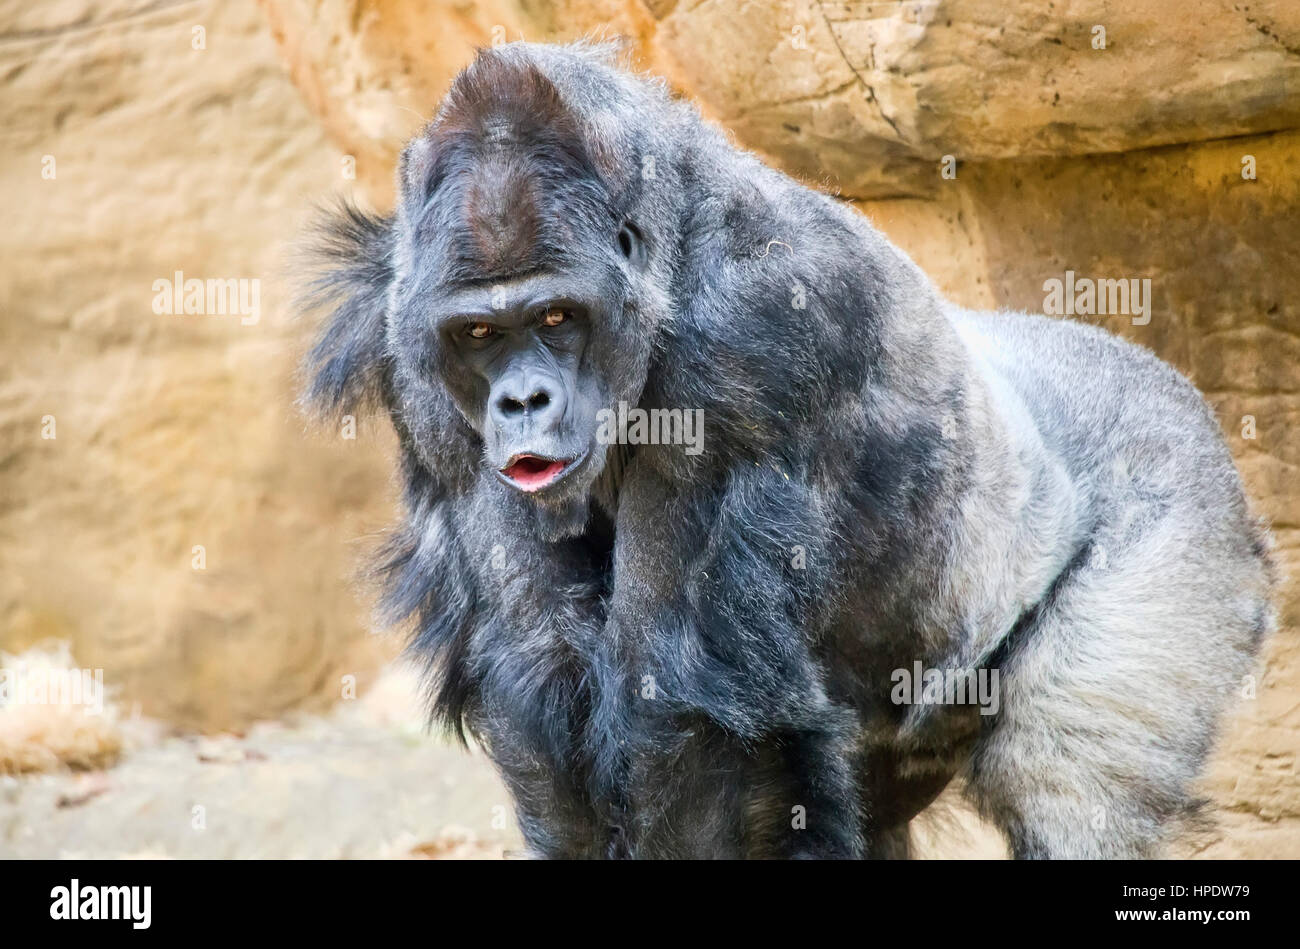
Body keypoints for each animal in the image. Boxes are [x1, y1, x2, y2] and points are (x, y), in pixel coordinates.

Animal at [299, 40, 1274, 857]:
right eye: (478, 333)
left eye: (556, 317)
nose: (522, 401)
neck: (664, 243)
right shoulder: (415, 366)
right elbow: (537, 676)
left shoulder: (750, 340)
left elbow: (682, 723)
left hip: (1187, 502)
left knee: (1072, 793)